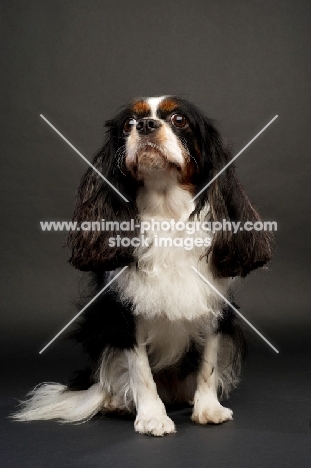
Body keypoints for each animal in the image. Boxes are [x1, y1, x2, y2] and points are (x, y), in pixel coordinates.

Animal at [12, 95, 272, 436]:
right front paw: (152, 417)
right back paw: (117, 403)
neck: (165, 211)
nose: (146, 125)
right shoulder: (124, 313)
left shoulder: (214, 307)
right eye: (128, 124)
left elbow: (209, 363)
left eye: (179, 119)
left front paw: (208, 409)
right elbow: (140, 372)